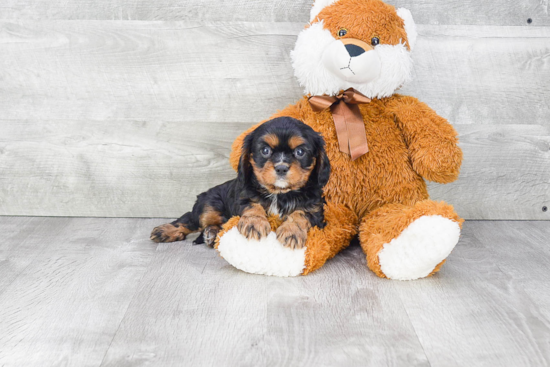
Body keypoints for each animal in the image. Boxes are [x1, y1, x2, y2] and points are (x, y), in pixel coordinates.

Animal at [151, 117, 330, 250]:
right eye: (265, 151)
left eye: (300, 152)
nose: (281, 168)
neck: (279, 193)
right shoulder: (243, 196)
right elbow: (252, 205)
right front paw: (254, 223)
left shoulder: (315, 209)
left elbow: (300, 214)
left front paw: (292, 232)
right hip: (208, 203)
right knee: (191, 219)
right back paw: (165, 231)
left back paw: (212, 234)